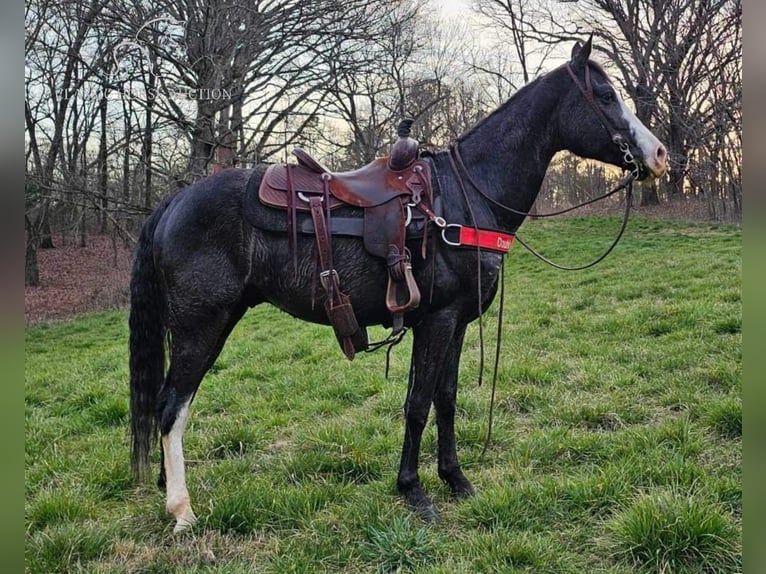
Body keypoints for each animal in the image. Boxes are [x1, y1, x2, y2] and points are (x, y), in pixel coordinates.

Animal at [130, 39, 664, 536]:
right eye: (605, 95)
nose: (659, 155)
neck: (466, 198)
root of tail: (173, 202)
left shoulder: (456, 324)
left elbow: (446, 399)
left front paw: (456, 479)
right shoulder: (437, 321)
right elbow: (418, 404)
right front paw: (414, 491)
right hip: (202, 326)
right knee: (172, 406)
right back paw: (181, 510)